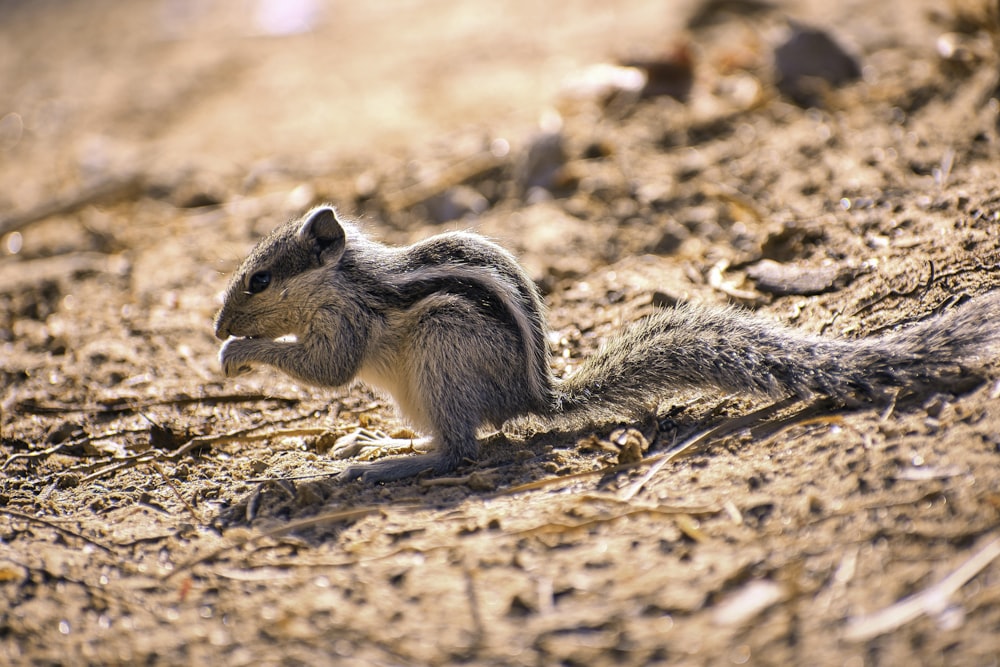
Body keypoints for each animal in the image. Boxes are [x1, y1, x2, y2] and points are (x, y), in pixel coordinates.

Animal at [215, 206, 996, 482]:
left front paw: (239, 354)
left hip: (442, 352)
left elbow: (328, 370)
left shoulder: (348, 322)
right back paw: (381, 442)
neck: (343, 275)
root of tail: (533, 394)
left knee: (459, 451)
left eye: (258, 278)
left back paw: (385, 463)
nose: (220, 326)